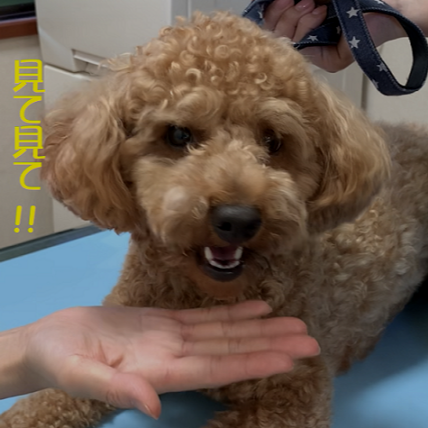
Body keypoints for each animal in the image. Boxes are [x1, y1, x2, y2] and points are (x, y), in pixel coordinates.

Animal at [2, 11, 428, 428]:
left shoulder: (296, 392)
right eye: (178, 134)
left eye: (273, 141)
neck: (203, 294)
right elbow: (54, 397)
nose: (237, 219)